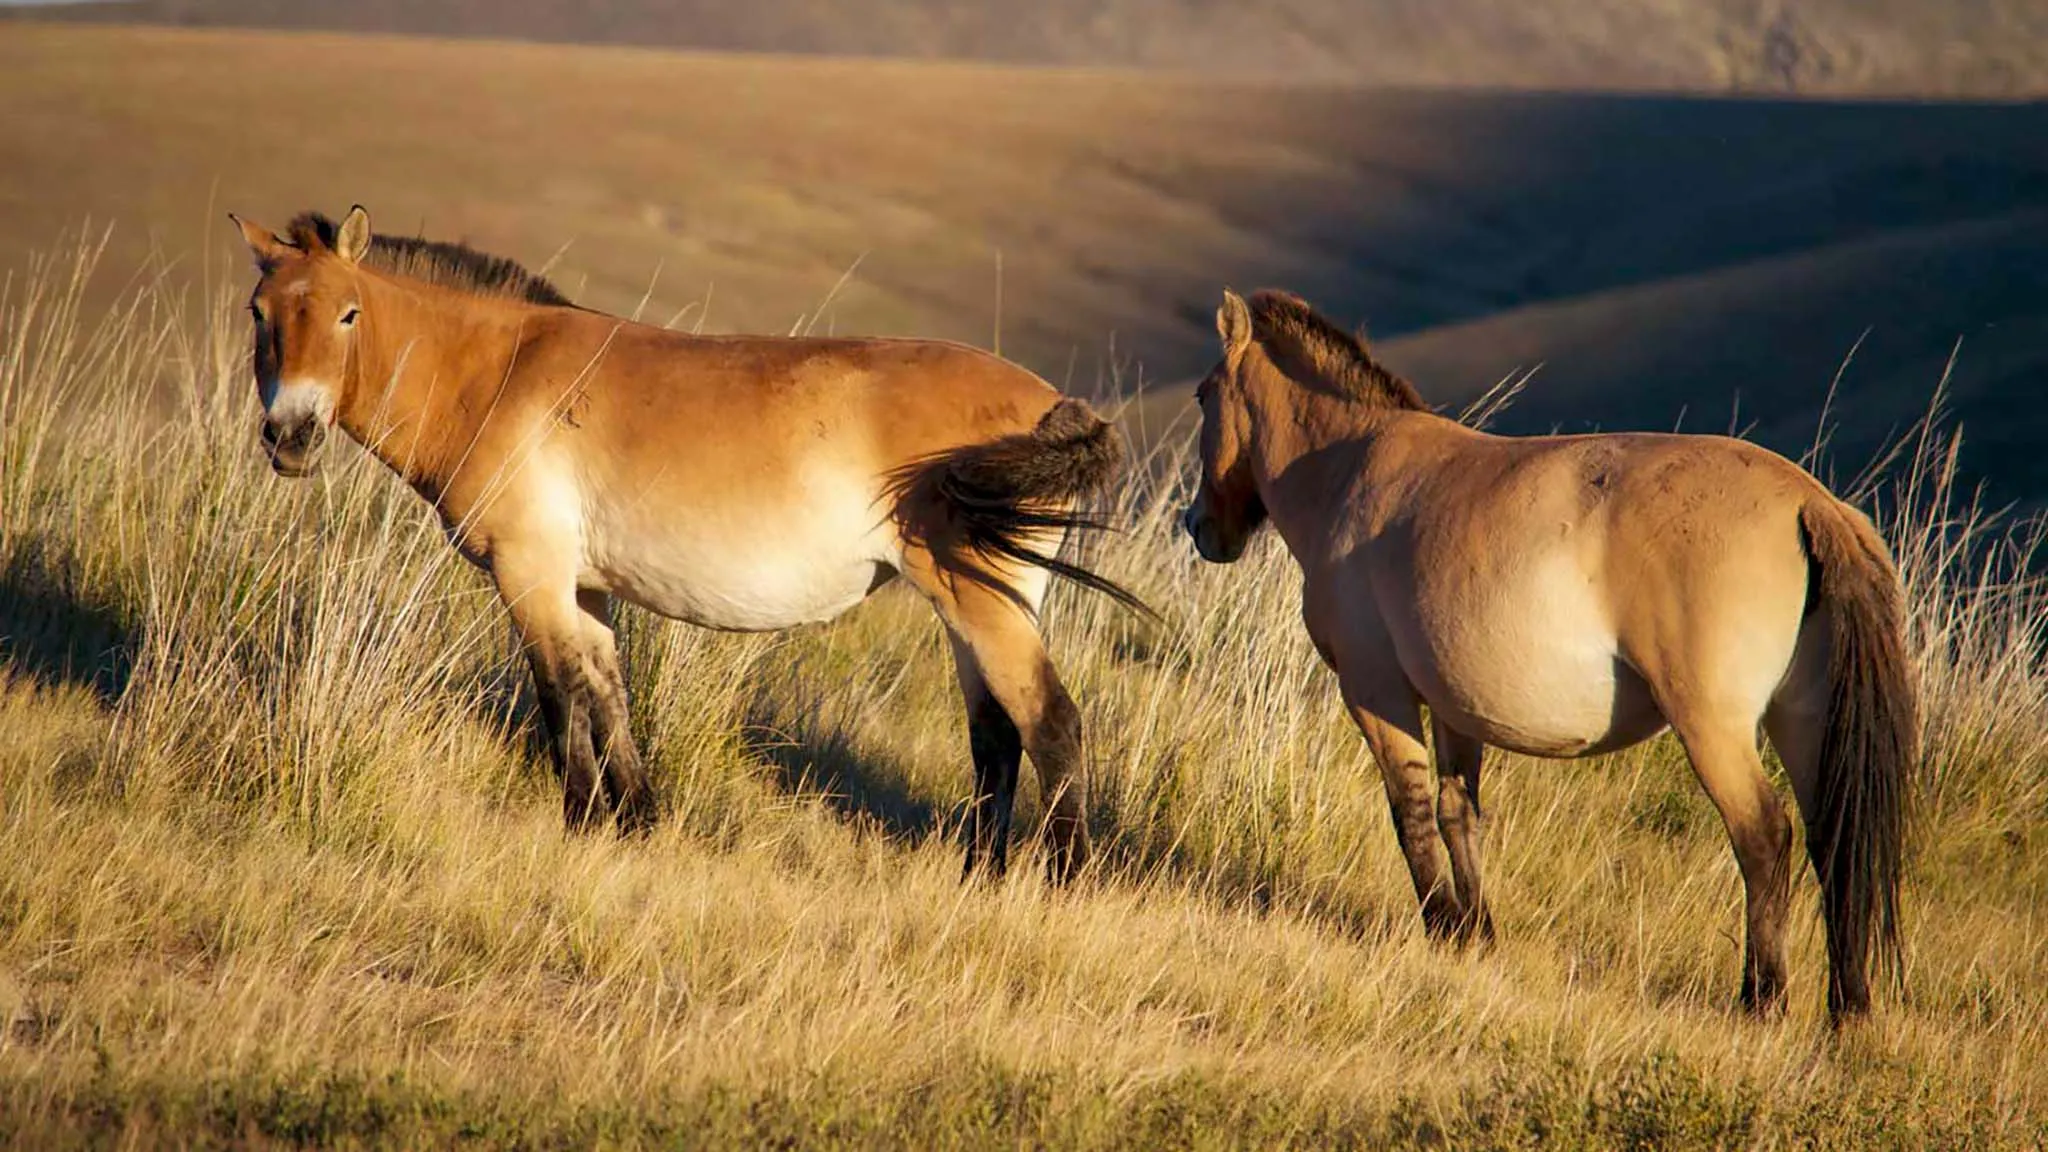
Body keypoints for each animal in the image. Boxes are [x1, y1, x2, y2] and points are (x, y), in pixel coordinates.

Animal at [235, 203, 1155, 877]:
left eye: (349, 313)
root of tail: (1051, 402)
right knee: (996, 735)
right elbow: (607, 692)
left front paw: (579, 821)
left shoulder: (529, 576)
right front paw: (636, 823)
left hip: (979, 602)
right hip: (978, 608)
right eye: (260, 313)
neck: (496, 375)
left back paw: (1062, 879)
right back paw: (980, 872)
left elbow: (557, 695)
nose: (291, 436)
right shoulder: (583, 586)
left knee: (1051, 724)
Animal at [1187, 289, 1916, 1020]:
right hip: (1803, 723)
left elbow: (1411, 811)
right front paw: (1475, 937)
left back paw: (1762, 999)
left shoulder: (1376, 692)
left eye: (1202, 395)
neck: (1351, 467)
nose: (1200, 529)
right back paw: (1847, 1007)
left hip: (1714, 727)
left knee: (1764, 838)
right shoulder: (1454, 708)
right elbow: (1457, 813)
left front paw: (1442, 926)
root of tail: (1811, 505)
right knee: (1832, 840)